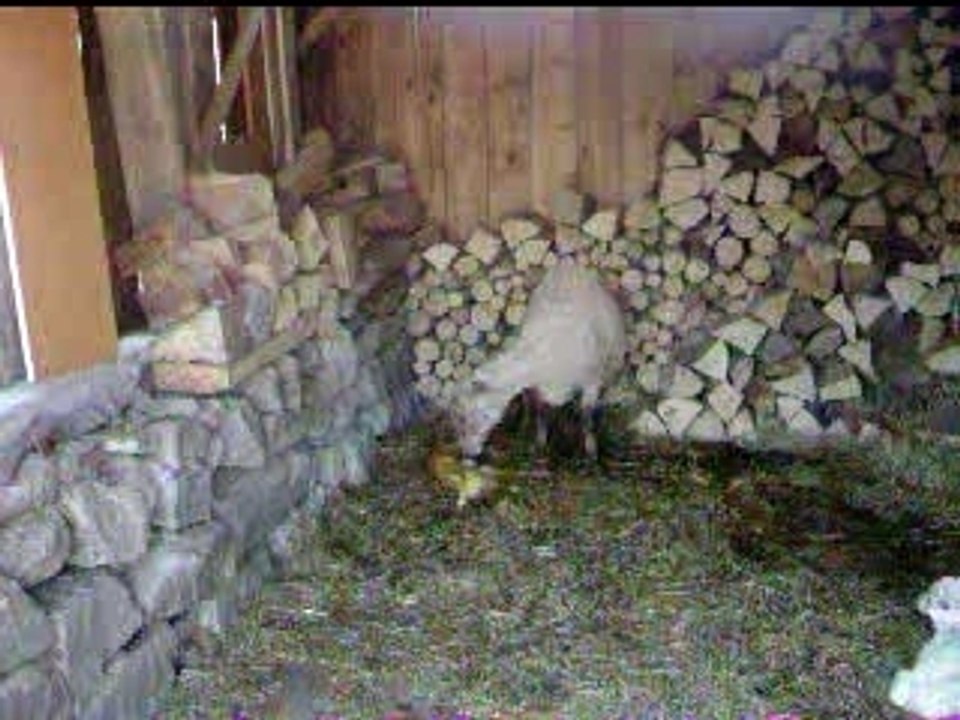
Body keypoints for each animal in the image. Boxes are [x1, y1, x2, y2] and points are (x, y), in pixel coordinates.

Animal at [452, 258, 627, 463]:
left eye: (466, 417)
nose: (467, 454)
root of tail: (568, 265)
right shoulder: (538, 388)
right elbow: (541, 415)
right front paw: (539, 446)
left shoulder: (590, 383)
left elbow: (586, 418)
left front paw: (591, 453)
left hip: (613, 358)